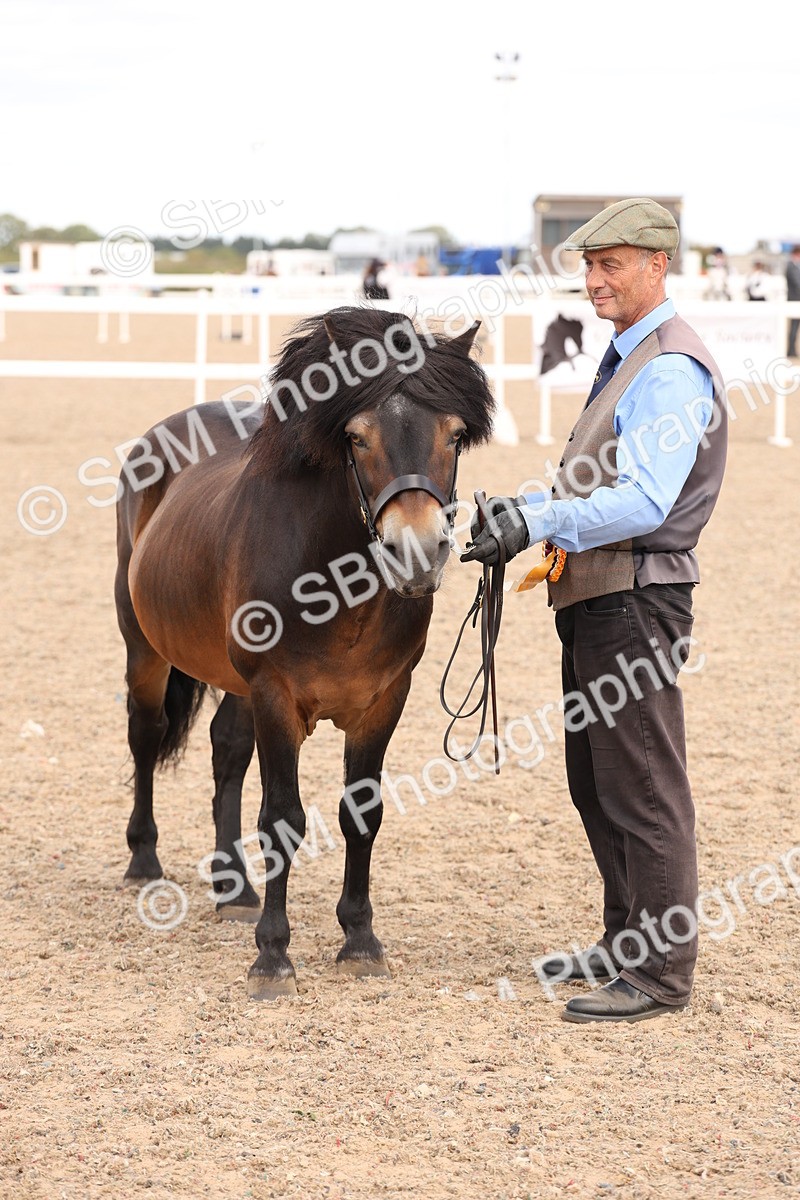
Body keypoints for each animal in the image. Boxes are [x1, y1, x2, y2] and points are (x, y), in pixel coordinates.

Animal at [114, 306, 495, 999]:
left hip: (233, 680)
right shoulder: (277, 697)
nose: (417, 552)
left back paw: (234, 887)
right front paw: (273, 956)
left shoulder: (383, 701)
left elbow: (362, 813)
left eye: (455, 436)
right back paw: (145, 860)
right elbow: (282, 819)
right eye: (357, 437)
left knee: (226, 749)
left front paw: (361, 941)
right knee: (146, 734)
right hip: (145, 650)